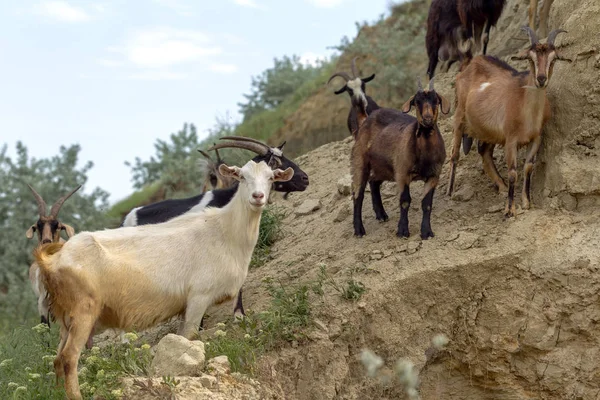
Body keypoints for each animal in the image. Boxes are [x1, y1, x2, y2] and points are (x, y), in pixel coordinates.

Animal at [346, 77, 450, 239]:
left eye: (436, 100)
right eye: (417, 101)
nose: (427, 119)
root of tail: (365, 121)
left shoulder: (434, 175)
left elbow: (427, 204)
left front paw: (426, 232)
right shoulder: (402, 173)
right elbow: (405, 201)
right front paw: (402, 231)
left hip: (383, 166)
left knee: (373, 182)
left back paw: (381, 215)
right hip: (359, 161)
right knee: (358, 193)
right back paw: (359, 230)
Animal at [448, 27, 568, 219]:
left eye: (554, 58)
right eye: (530, 58)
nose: (541, 79)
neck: (527, 110)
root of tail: (471, 66)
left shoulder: (536, 138)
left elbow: (528, 167)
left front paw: (527, 202)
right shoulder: (511, 140)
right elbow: (513, 172)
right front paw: (509, 210)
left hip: (489, 132)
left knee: (485, 153)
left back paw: (501, 186)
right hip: (459, 116)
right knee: (454, 154)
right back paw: (450, 192)